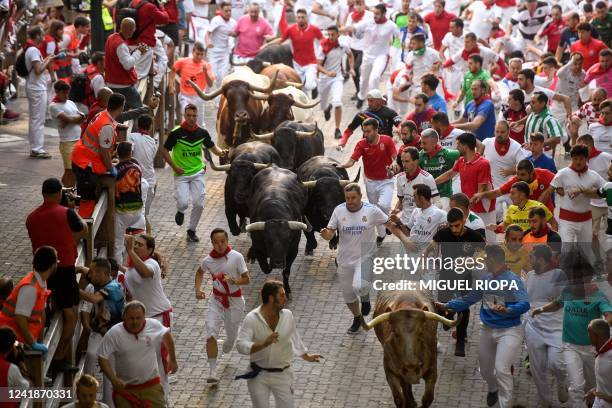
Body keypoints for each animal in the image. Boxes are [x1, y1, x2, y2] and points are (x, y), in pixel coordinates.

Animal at [245, 166, 308, 296]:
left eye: (288, 239)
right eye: (267, 240)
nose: (278, 262)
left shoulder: (293, 250)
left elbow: (286, 271)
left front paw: (287, 289)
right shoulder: (259, 248)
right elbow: (265, 267)